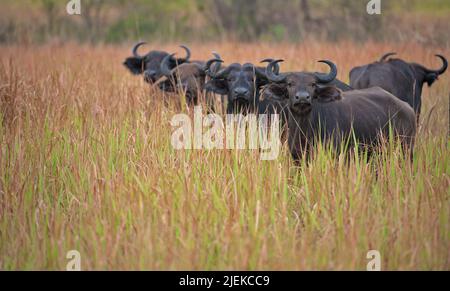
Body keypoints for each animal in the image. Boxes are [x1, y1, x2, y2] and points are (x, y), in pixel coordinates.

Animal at [266, 58, 416, 161]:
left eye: (313, 84)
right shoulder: (297, 157)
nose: (302, 97)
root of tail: (408, 109)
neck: (304, 130)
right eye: (290, 84)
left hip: (406, 149)